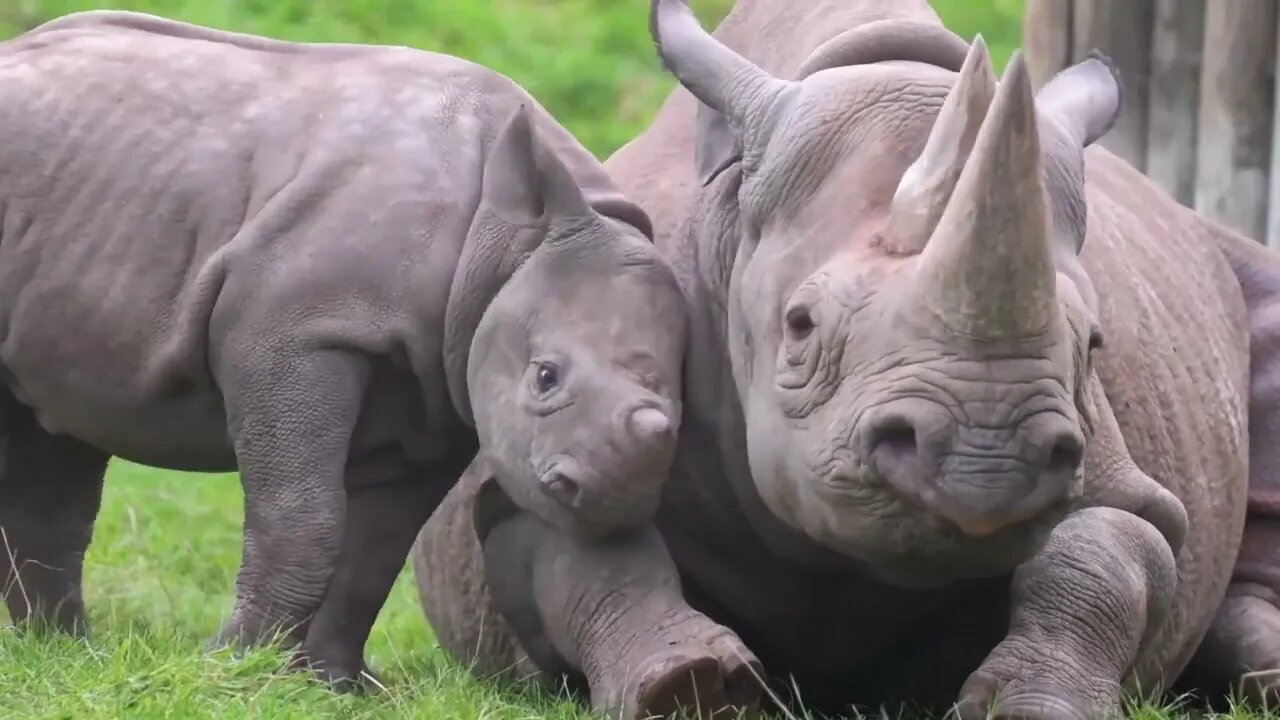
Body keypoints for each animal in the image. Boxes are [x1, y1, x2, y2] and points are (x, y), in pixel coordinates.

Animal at [0, 10, 687, 687]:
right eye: (546, 377)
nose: (615, 493)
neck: (507, 239)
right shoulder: (302, 333)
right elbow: (304, 516)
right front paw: (228, 668)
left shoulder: (441, 389)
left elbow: (375, 549)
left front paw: (334, 683)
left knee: (53, 432)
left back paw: (63, 652)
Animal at [412, 0, 1280, 717]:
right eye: (800, 326)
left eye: (1093, 344)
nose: (985, 461)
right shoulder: (548, 440)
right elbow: (583, 549)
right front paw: (689, 689)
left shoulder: (1111, 467)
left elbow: (1101, 554)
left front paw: (1034, 704)